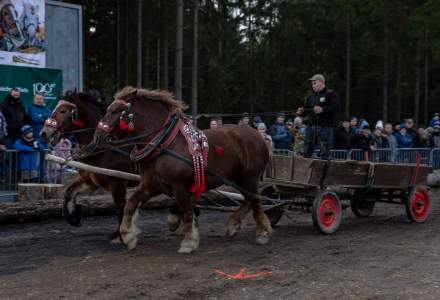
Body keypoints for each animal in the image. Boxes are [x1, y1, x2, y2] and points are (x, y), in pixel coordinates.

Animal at [39, 92, 136, 243]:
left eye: (63, 111)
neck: (102, 149)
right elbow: (68, 193)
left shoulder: (117, 183)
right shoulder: (90, 180)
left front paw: (120, 234)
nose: (44, 133)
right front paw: (75, 217)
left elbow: (121, 208)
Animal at [93, 86, 272, 253]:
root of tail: (257, 135)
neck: (164, 143)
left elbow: (186, 211)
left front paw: (189, 242)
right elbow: (130, 203)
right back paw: (234, 224)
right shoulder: (151, 185)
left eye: (115, 111)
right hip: (237, 178)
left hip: (249, 177)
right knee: (249, 199)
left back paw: (262, 232)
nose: (98, 136)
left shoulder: (180, 186)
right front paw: (128, 235)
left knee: (255, 200)